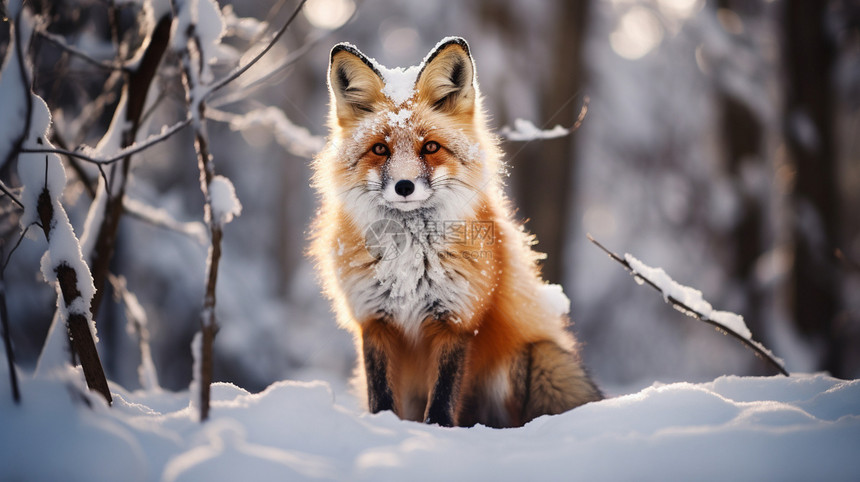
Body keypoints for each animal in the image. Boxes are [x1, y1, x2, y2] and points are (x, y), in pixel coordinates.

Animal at [310, 38, 604, 430]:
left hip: (538, 360)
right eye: (380, 149)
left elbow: (443, 396)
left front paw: (437, 433)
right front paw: (385, 427)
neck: (409, 258)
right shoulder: (374, 320)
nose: (404, 186)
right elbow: (381, 396)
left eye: (430, 147)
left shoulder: (457, 319)